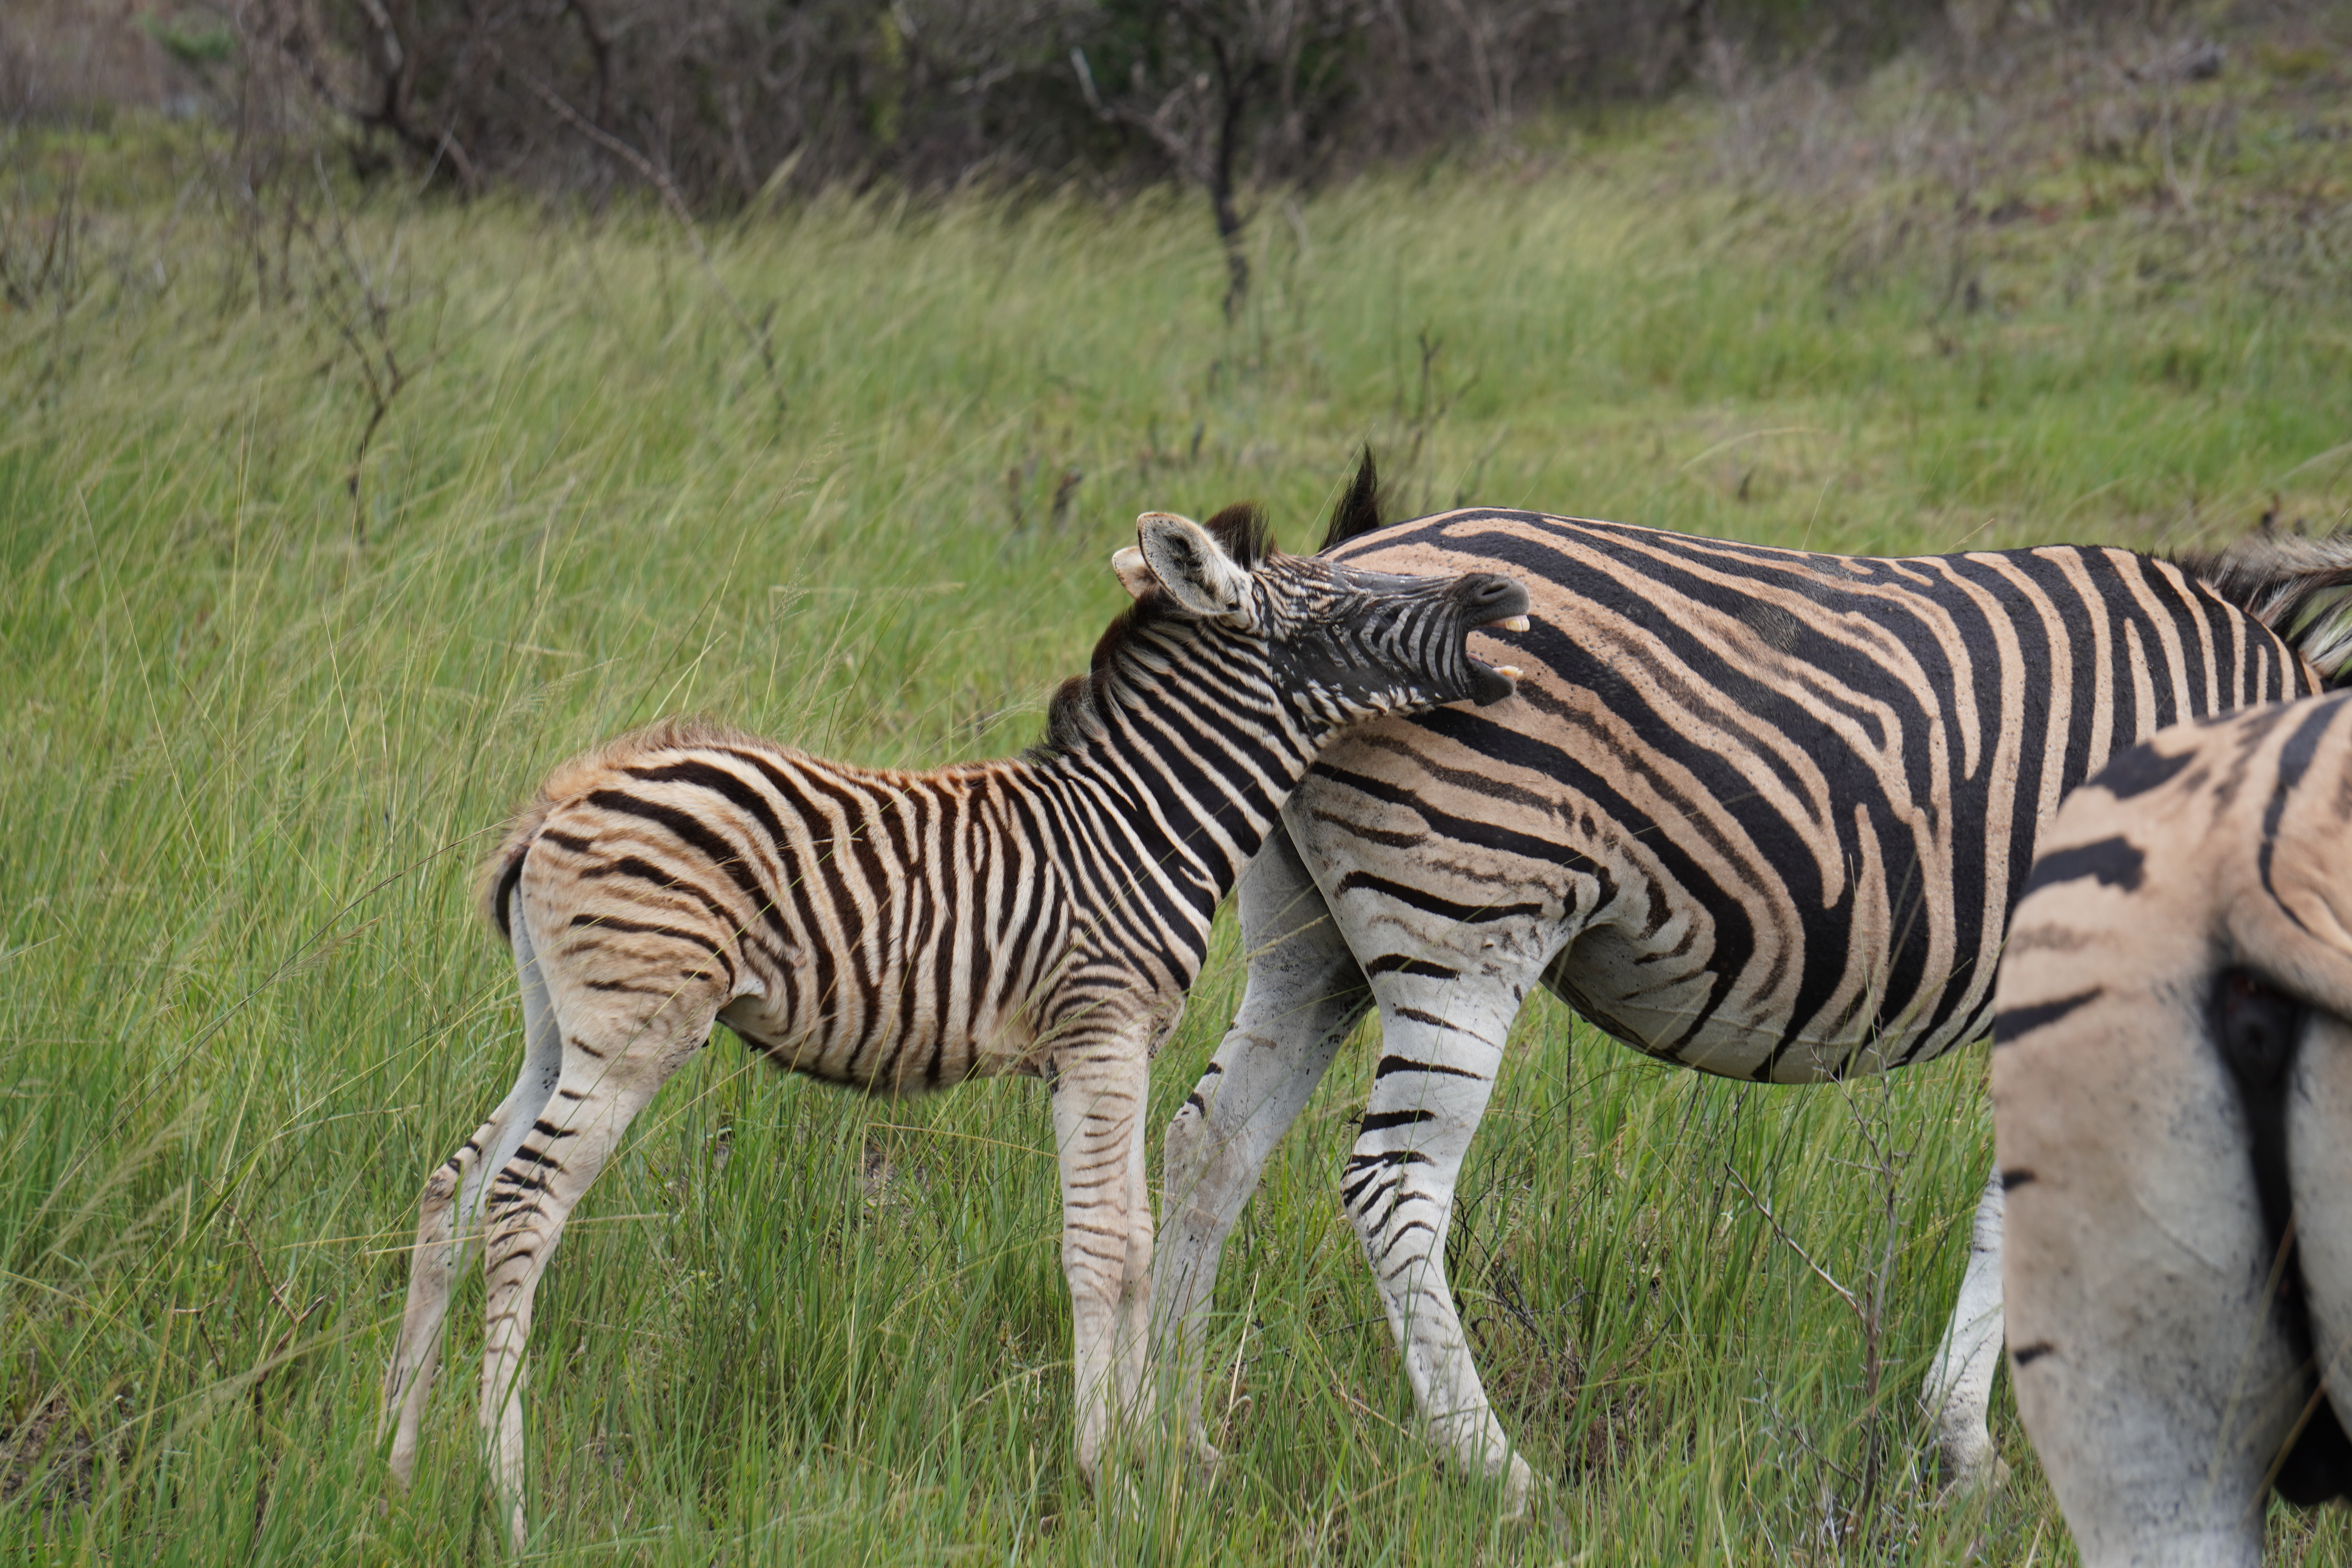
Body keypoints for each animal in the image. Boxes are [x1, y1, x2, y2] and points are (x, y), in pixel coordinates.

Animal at [377, 503, 1531, 1546]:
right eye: (1337, 606)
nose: (1497, 594)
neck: (1139, 824)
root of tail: (566, 799)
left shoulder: (1092, 1052)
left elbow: (1124, 1239)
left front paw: (1133, 1458)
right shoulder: (1101, 1029)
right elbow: (1108, 1245)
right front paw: (1110, 1482)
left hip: (559, 1030)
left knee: (454, 1189)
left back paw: (397, 1457)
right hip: (636, 1032)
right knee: (524, 1202)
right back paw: (506, 1497)